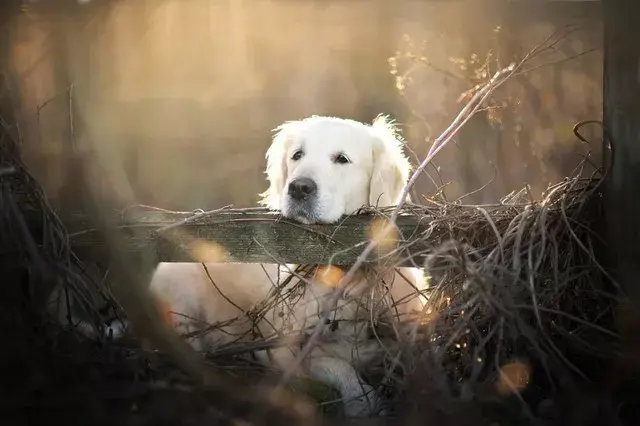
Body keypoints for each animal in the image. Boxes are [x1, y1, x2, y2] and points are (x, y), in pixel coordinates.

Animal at [146, 115, 424, 416]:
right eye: (297, 155)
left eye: (342, 159)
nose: (299, 187)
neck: (344, 275)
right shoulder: (281, 352)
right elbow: (339, 367)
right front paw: (363, 403)